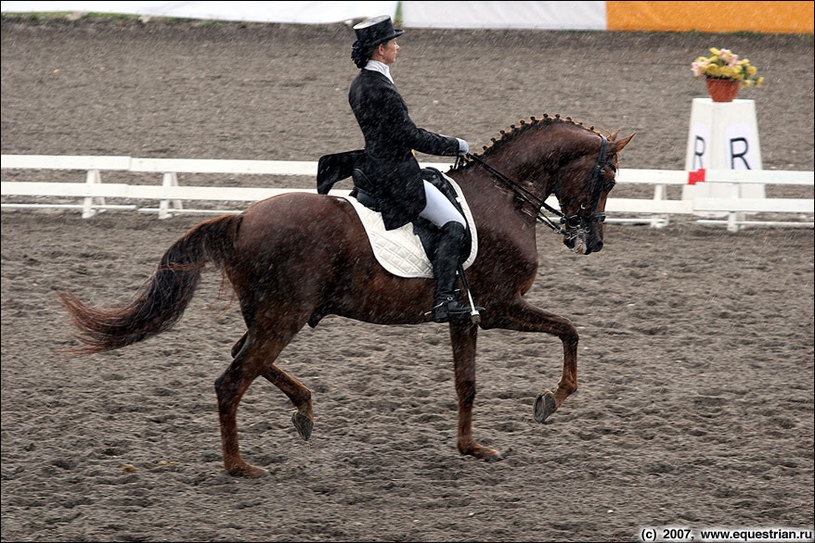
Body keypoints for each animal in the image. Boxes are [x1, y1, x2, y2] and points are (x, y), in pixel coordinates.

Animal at [62, 115, 636, 476]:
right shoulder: (498, 308)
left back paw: (302, 409)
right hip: (284, 316)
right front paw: (551, 400)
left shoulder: (465, 315)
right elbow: (570, 330)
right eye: (607, 178)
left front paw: (471, 447)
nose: (592, 241)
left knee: (243, 357)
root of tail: (243, 217)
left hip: (273, 315)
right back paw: (240, 466)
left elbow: (467, 384)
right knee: (232, 380)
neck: (502, 197)